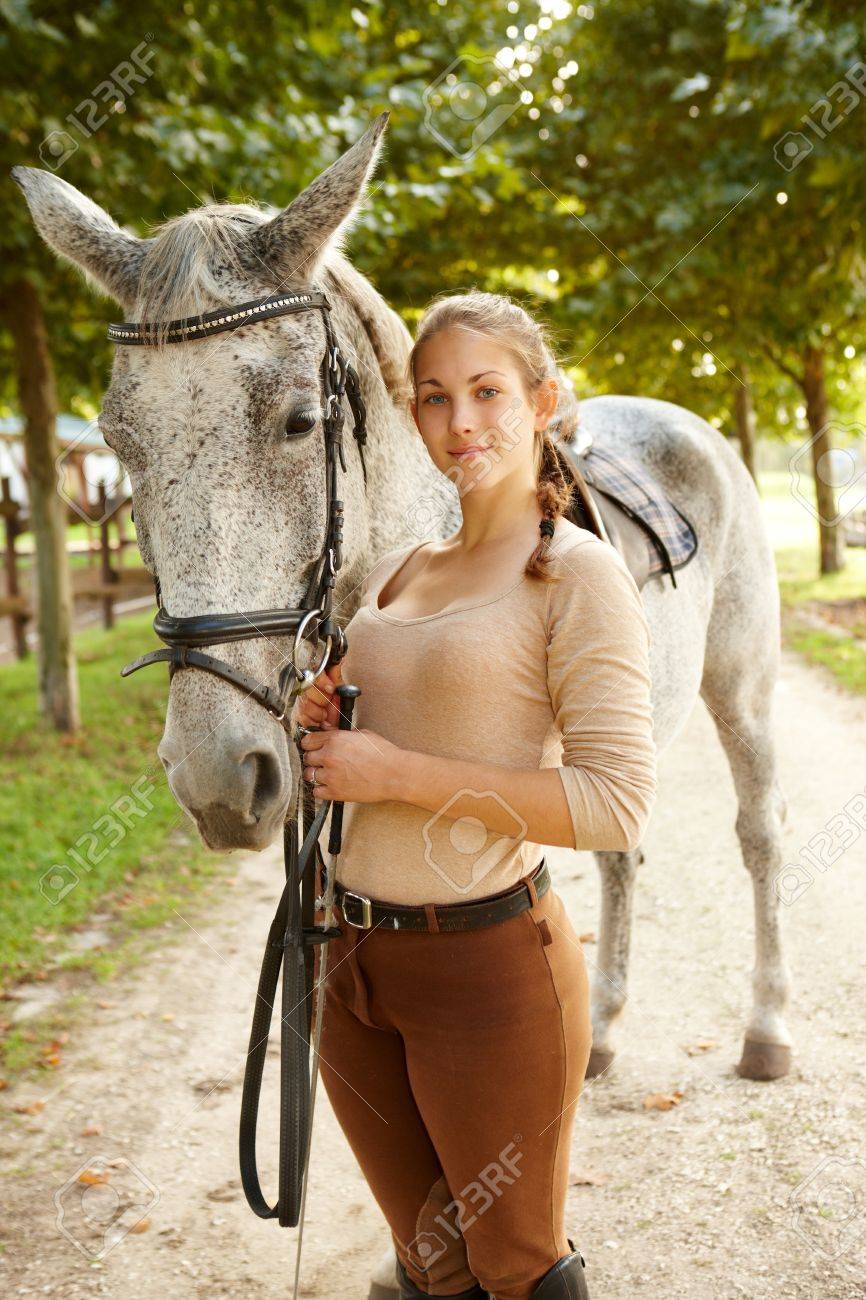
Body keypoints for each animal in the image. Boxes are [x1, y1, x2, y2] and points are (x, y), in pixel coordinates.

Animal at [16, 111, 790, 1289]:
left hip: (739, 690)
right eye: (117, 441)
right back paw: (604, 1029)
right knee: (620, 857)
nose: (216, 775)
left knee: (756, 835)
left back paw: (765, 1030)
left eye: (299, 420)